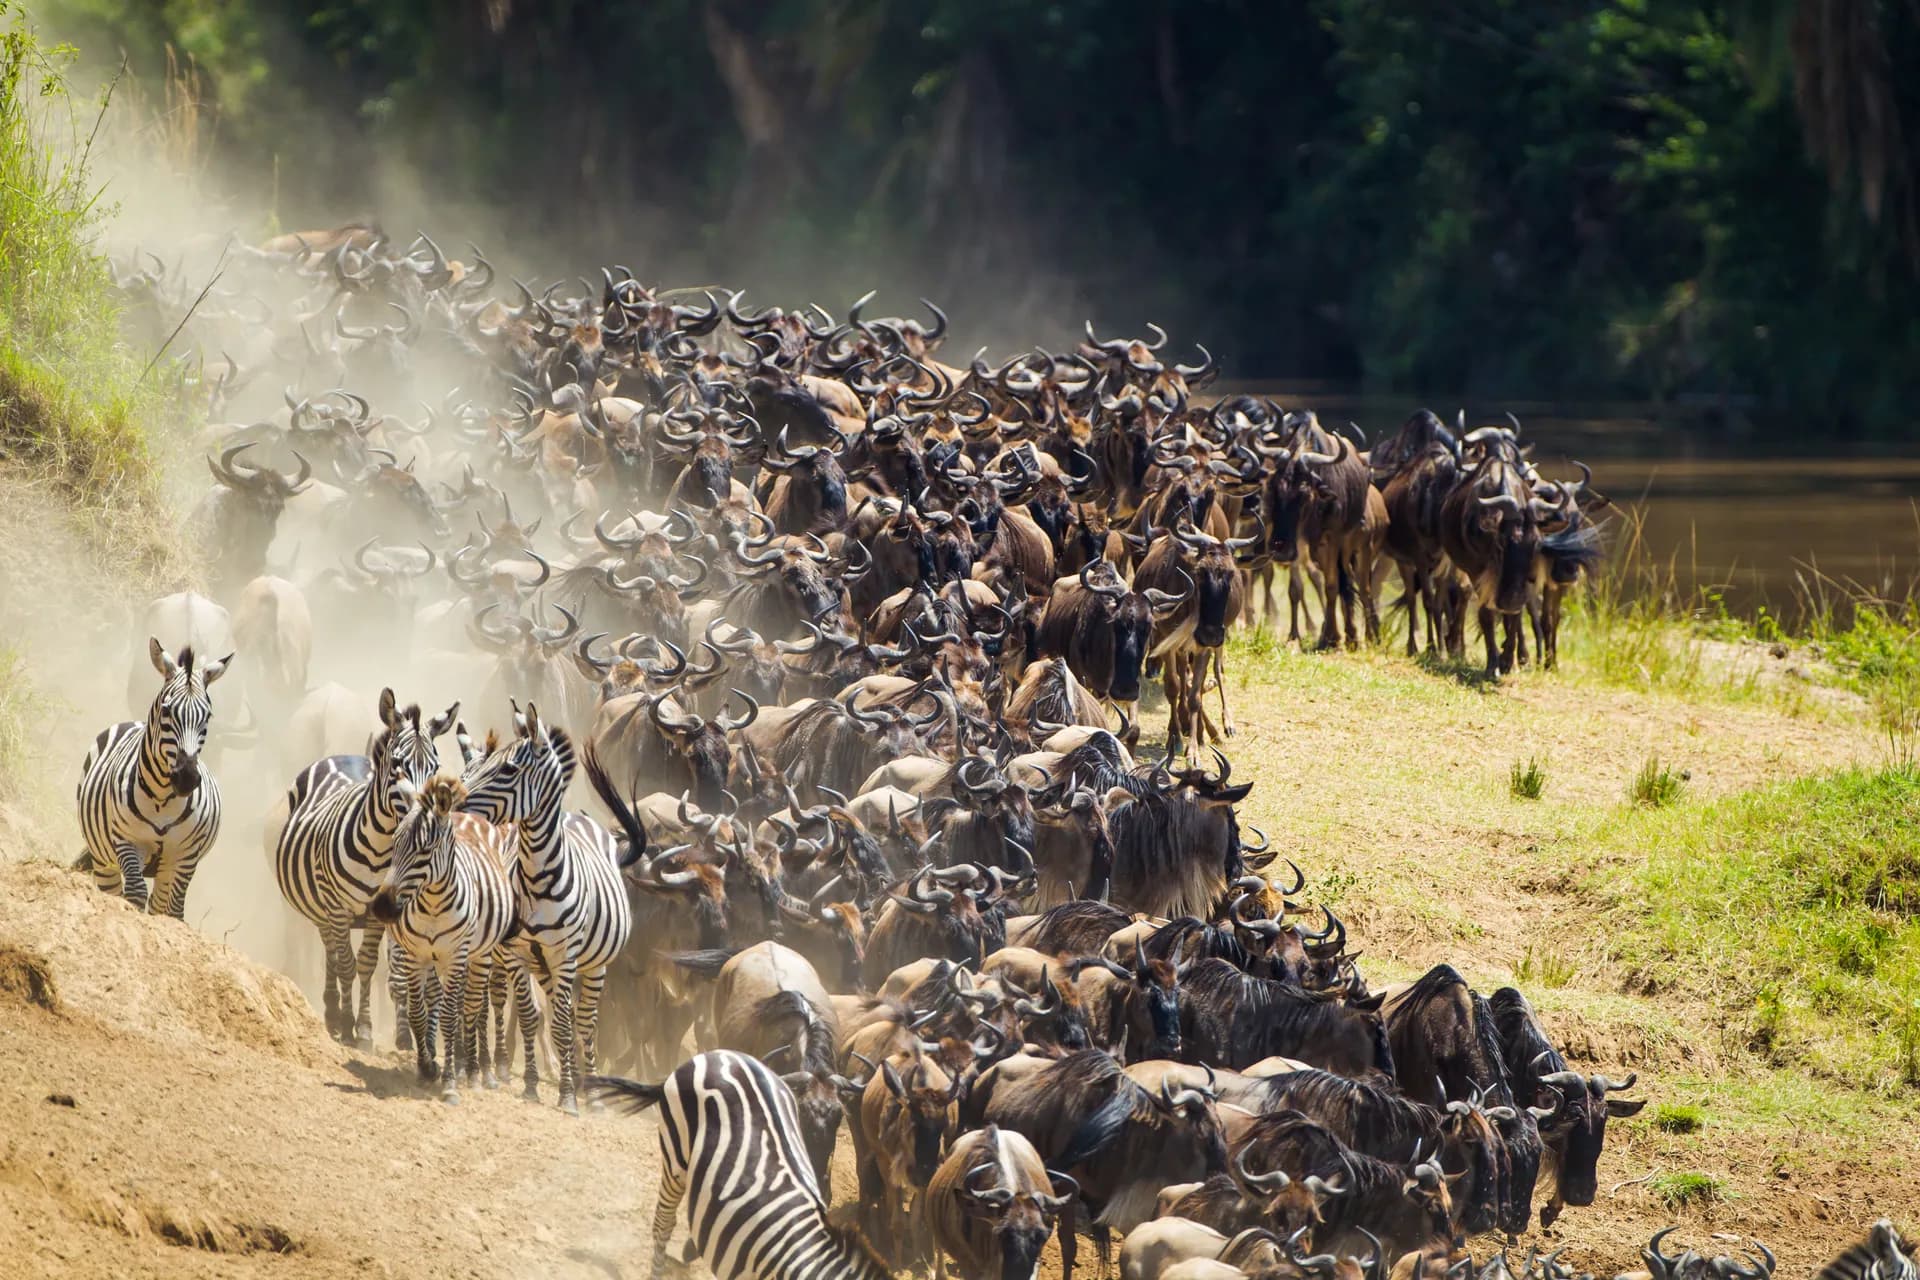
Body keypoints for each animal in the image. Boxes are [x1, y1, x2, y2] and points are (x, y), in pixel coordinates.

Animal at [77, 639, 230, 917]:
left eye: (208, 716)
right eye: (167, 710)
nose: (186, 778)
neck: (161, 797)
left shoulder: (186, 855)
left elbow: (174, 911)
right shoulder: (127, 840)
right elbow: (135, 893)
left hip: (166, 867)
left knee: (160, 903)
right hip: (103, 858)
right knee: (112, 890)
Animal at [268, 687, 456, 1045]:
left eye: (436, 766)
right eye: (397, 764)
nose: (428, 814)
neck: (379, 852)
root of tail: (342, 754)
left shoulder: (376, 913)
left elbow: (366, 965)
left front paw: (365, 1028)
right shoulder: (337, 907)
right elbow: (346, 965)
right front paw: (345, 1023)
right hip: (322, 906)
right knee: (331, 952)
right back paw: (331, 1013)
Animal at [371, 773, 518, 1101]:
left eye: (424, 850)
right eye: (394, 844)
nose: (382, 906)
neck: (433, 904)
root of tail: (466, 816)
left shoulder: (455, 956)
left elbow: (451, 1016)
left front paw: (449, 1081)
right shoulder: (415, 955)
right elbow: (417, 1012)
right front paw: (427, 1068)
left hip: (480, 955)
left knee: (473, 1007)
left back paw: (475, 1072)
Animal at [458, 701, 634, 1114]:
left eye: (507, 770)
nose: (452, 800)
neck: (538, 877)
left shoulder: (565, 955)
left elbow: (566, 1025)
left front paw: (569, 1095)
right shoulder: (519, 952)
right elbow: (529, 1016)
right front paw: (531, 1084)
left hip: (592, 964)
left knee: (583, 1021)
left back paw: (592, 1092)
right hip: (544, 966)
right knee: (559, 1014)